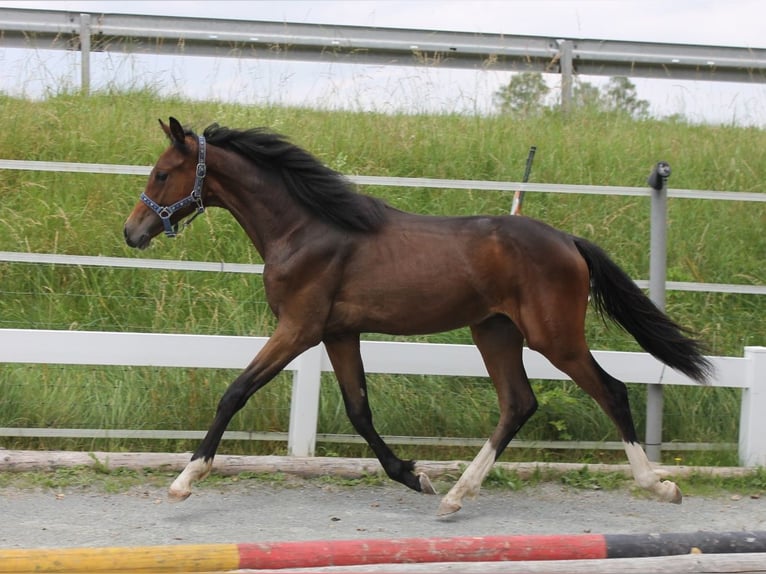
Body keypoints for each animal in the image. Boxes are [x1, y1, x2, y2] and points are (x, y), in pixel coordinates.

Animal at [124, 118, 712, 516]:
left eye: (162, 173)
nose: (132, 233)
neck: (305, 228)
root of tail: (568, 240)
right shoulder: (339, 333)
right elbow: (360, 412)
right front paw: (414, 475)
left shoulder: (298, 328)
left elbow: (235, 392)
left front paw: (185, 480)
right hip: (494, 331)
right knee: (518, 403)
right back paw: (455, 494)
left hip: (554, 336)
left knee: (610, 391)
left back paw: (661, 486)